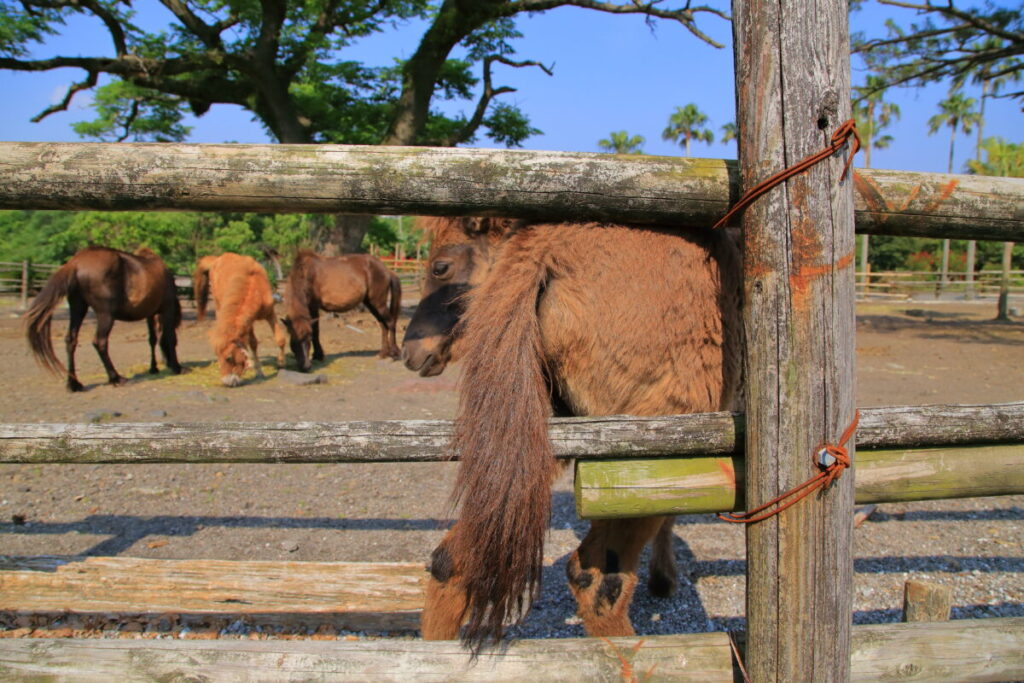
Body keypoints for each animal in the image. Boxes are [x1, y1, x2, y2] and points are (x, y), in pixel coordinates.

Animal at [24, 245, 183, 392]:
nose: (167, 362)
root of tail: (75, 263)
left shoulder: (150, 314)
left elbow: (152, 339)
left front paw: (154, 368)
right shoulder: (167, 309)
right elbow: (170, 337)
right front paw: (176, 366)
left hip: (78, 309)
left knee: (71, 340)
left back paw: (74, 384)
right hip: (105, 315)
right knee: (100, 342)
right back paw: (115, 377)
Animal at [194, 252, 287, 387]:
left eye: (228, 358)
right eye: (219, 356)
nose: (227, 382)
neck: (255, 288)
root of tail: (218, 258)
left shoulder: (269, 314)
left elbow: (280, 339)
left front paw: (281, 363)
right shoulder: (248, 322)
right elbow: (253, 343)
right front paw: (258, 371)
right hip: (218, 305)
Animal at [401, 217, 743, 649]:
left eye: (440, 267)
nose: (410, 353)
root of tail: (544, 248)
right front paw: (665, 579)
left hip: (534, 440)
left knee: (451, 562)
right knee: (594, 579)